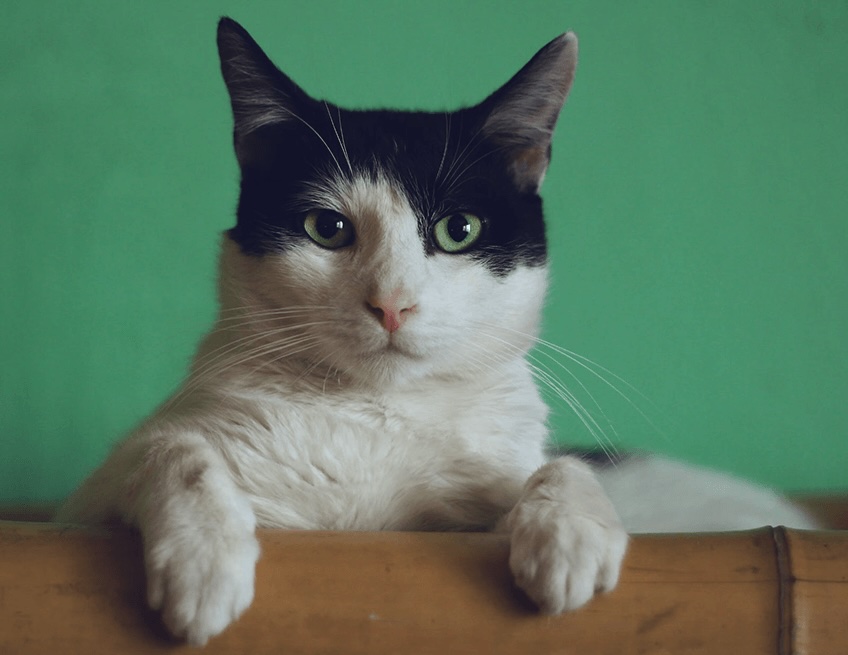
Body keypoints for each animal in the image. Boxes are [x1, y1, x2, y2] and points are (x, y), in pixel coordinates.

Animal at [54, 18, 816, 648]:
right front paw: (205, 562)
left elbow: (555, 466)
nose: (392, 303)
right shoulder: (84, 502)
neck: (376, 418)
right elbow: (173, 448)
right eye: (326, 228)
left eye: (459, 230)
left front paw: (568, 535)